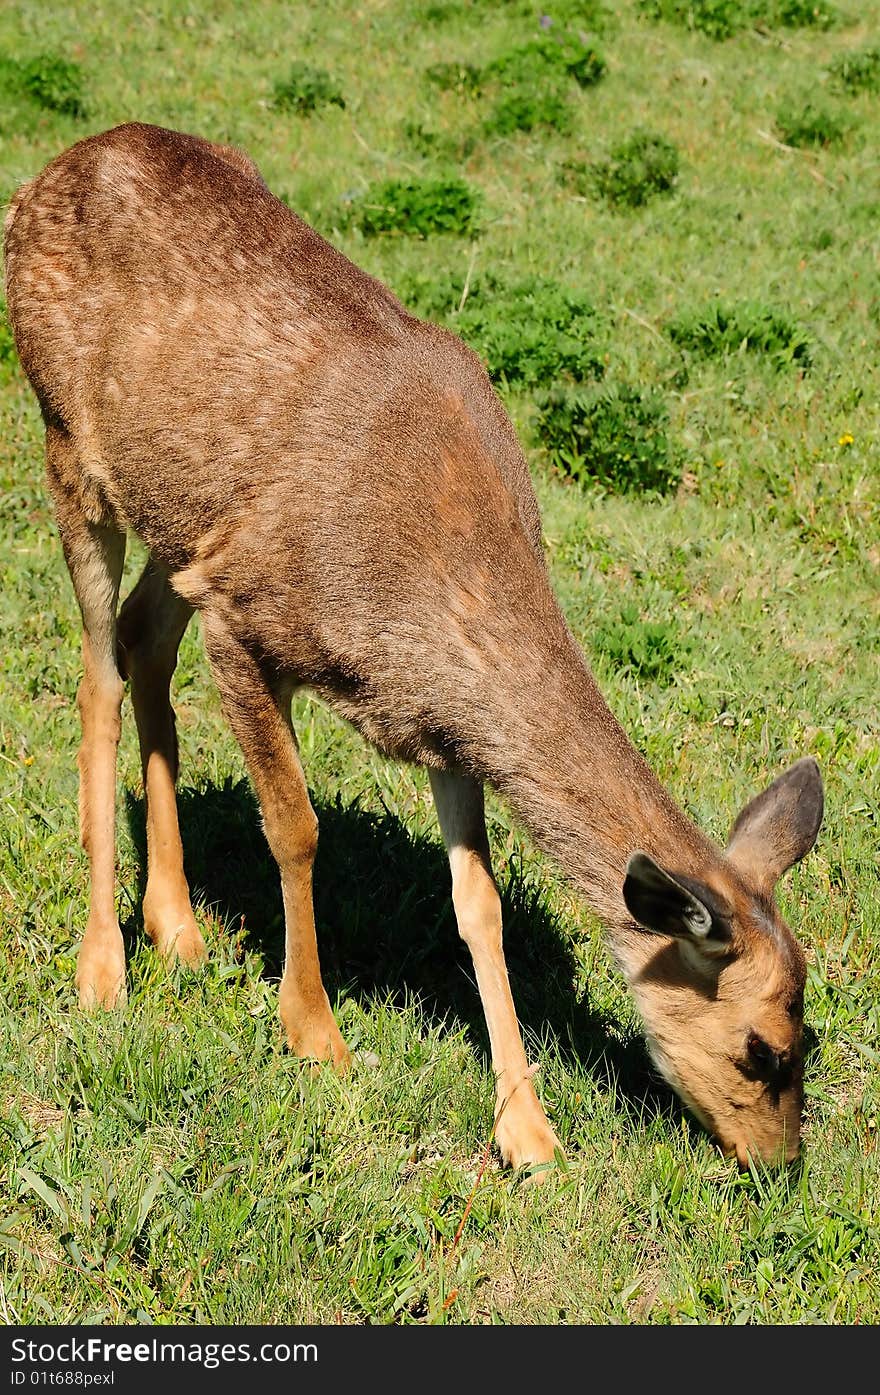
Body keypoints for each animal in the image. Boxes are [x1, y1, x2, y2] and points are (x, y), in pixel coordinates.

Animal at [3, 119, 825, 1171]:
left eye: (808, 1037)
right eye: (763, 1048)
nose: (780, 1165)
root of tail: (39, 181)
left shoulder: (441, 728)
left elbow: (481, 904)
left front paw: (526, 1126)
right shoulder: (249, 619)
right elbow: (296, 826)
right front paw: (315, 1033)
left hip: (184, 525)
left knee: (143, 637)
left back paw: (177, 926)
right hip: (69, 446)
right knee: (98, 669)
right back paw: (103, 964)